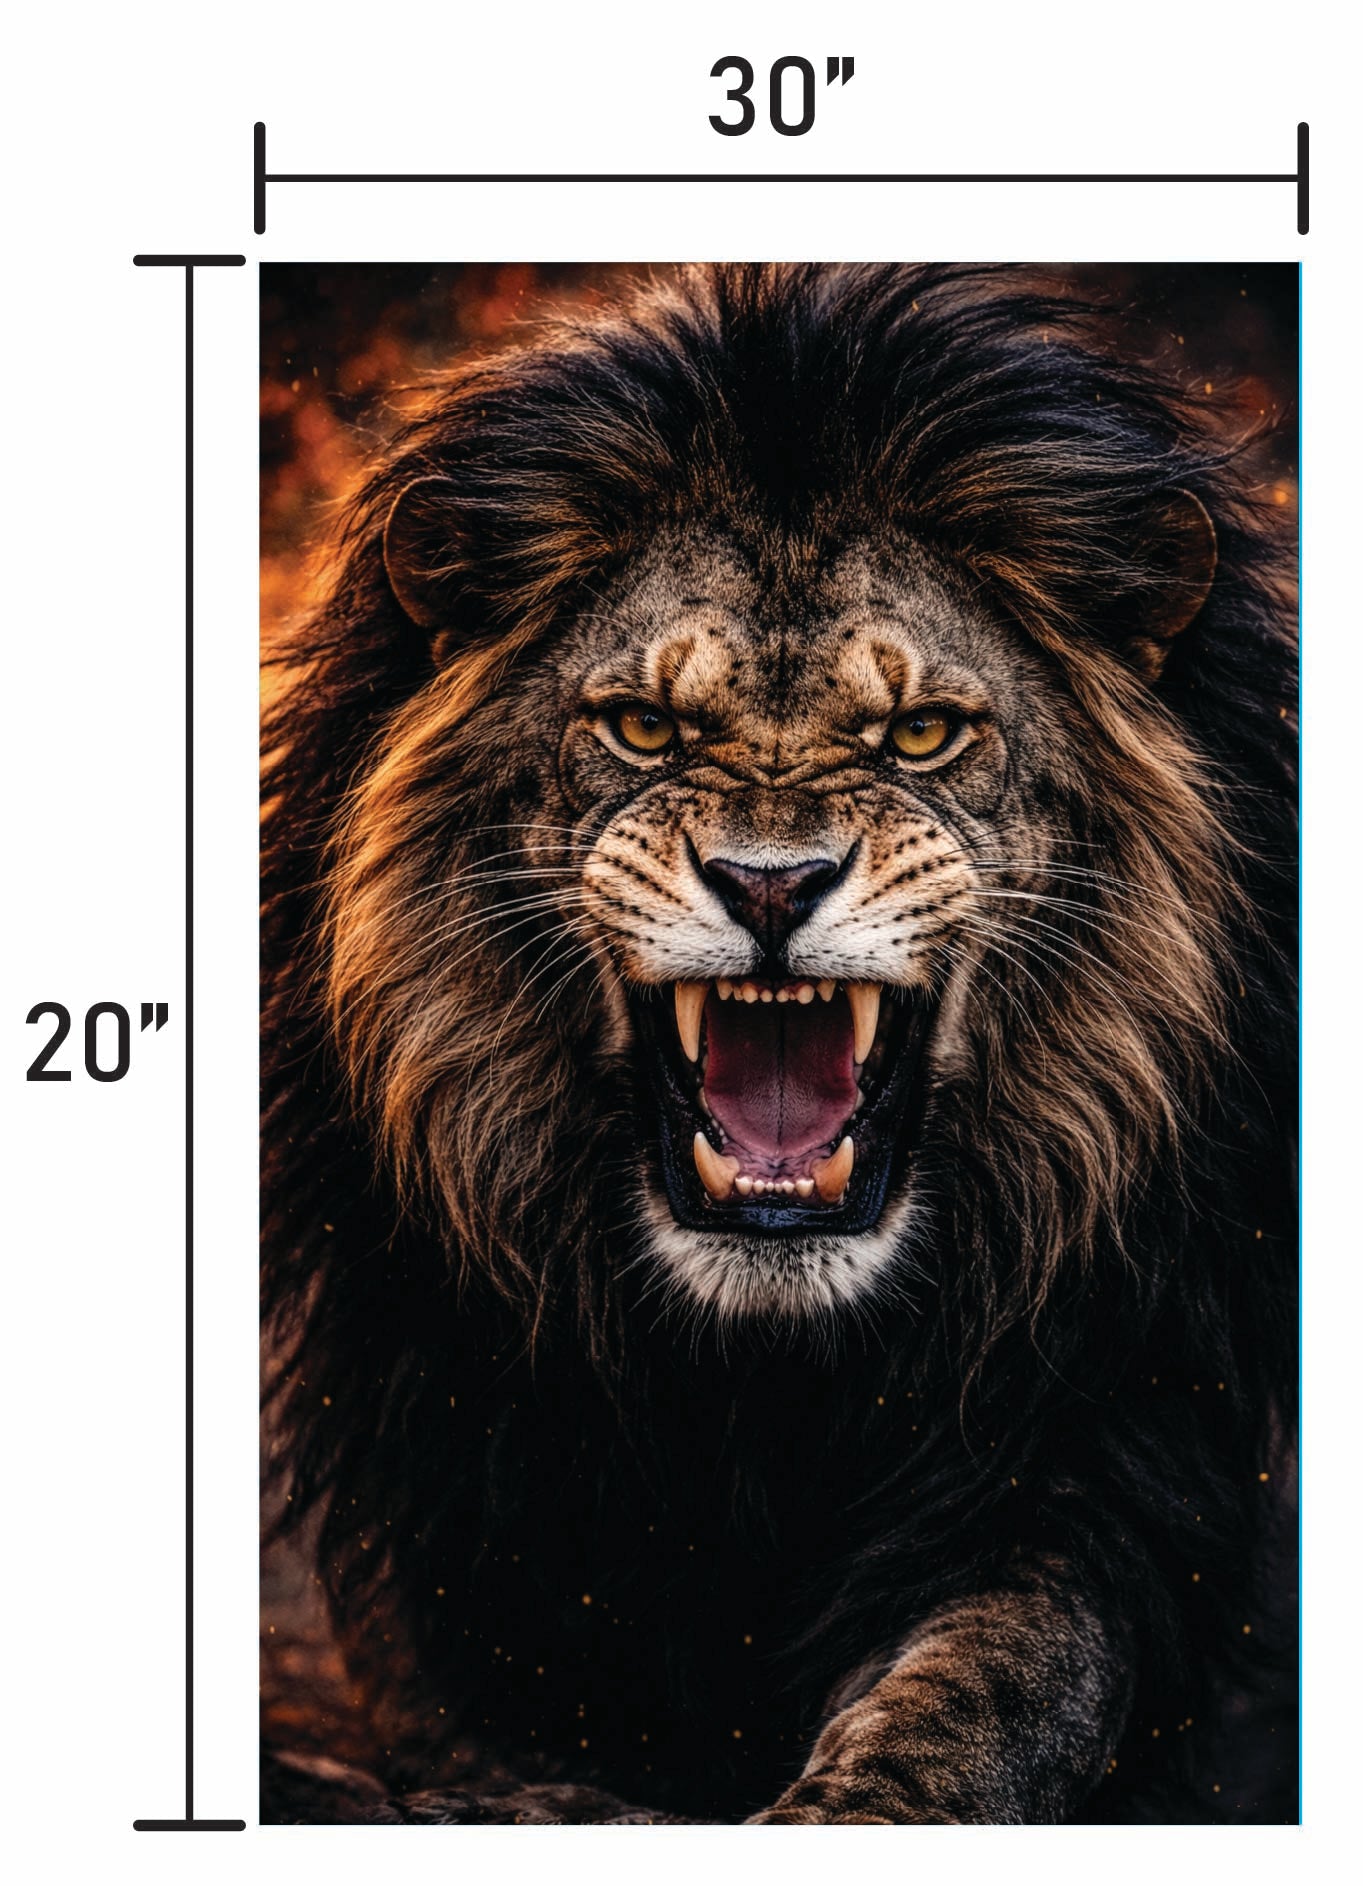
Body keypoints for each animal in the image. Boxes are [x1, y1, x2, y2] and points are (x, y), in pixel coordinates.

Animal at [261, 264, 1297, 1824]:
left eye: (921, 734)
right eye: (641, 726)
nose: (766, 885)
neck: (764, 1379)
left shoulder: (1087, 1462)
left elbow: (1000, 1680)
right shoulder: (458, 1556)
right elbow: (510, 1769)